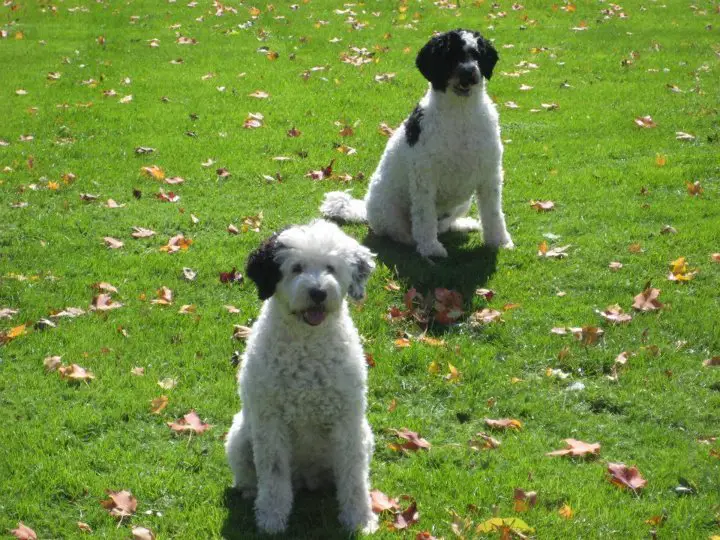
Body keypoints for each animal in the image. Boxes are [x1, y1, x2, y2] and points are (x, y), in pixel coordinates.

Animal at [226, 220, 380, 536]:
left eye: (331, 268)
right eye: (296, 268)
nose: (318, 292)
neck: (307, 349)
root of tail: (308, 478)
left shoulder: (347, 423)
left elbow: (354, 478)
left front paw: (359, 519)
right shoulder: (270, 423)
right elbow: (273, 475)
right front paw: (271, 517)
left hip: (364, 435)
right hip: (239, 437)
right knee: (251, 476)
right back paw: (250, 494)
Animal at [320, 29, 512, 258]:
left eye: (476, 54)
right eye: (450, 55)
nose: (468, 73)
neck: (461, 115)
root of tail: (365, 208)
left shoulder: (490, 176)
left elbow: (493, 213)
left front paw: (500, 241)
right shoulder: (424, 179)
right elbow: (424, 216)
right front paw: (430, 248)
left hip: (462, 202)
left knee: (444, 225)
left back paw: (462, 225)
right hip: (389, 210)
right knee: (400, 230)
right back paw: (412, 240)